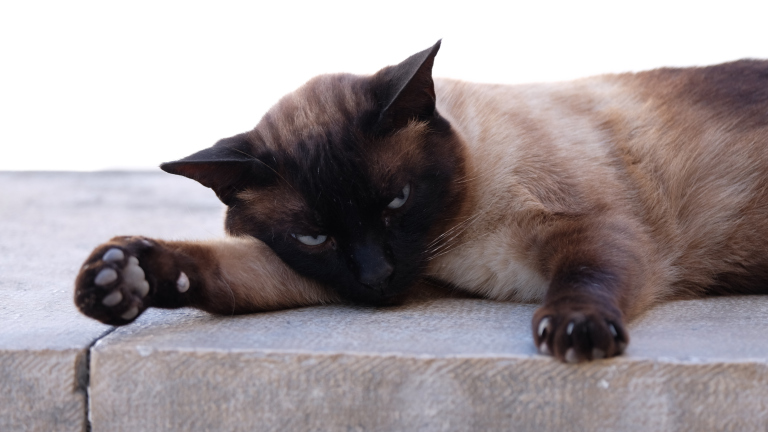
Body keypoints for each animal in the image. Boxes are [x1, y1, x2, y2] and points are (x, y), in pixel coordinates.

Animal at [75, 41, 768, 364]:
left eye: (397, 201)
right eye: (314, 237)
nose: (378, 276)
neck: (461, 236)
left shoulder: (587, 227)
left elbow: (585, 279)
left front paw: (576, 333)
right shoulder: (339, 279)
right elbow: (220, 270)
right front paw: (119, 280)